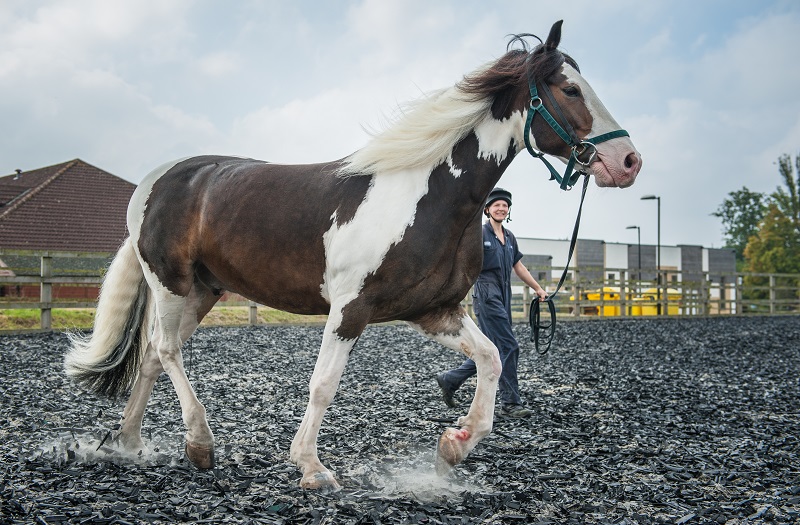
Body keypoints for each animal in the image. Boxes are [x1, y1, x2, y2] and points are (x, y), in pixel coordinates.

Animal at [67, 18, 644, 490]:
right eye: (570, 88)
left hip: (204, 290)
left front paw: (454, 447)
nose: (629, 161)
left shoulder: (436, 313)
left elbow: (492, 359)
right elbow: (323, 385)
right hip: (170, 281)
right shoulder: (350, 309)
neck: (426, 196)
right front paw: (312, 468)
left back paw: (131, 443)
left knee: (150, 357)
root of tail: (156, 181)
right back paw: (201, 444)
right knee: (167, 351)